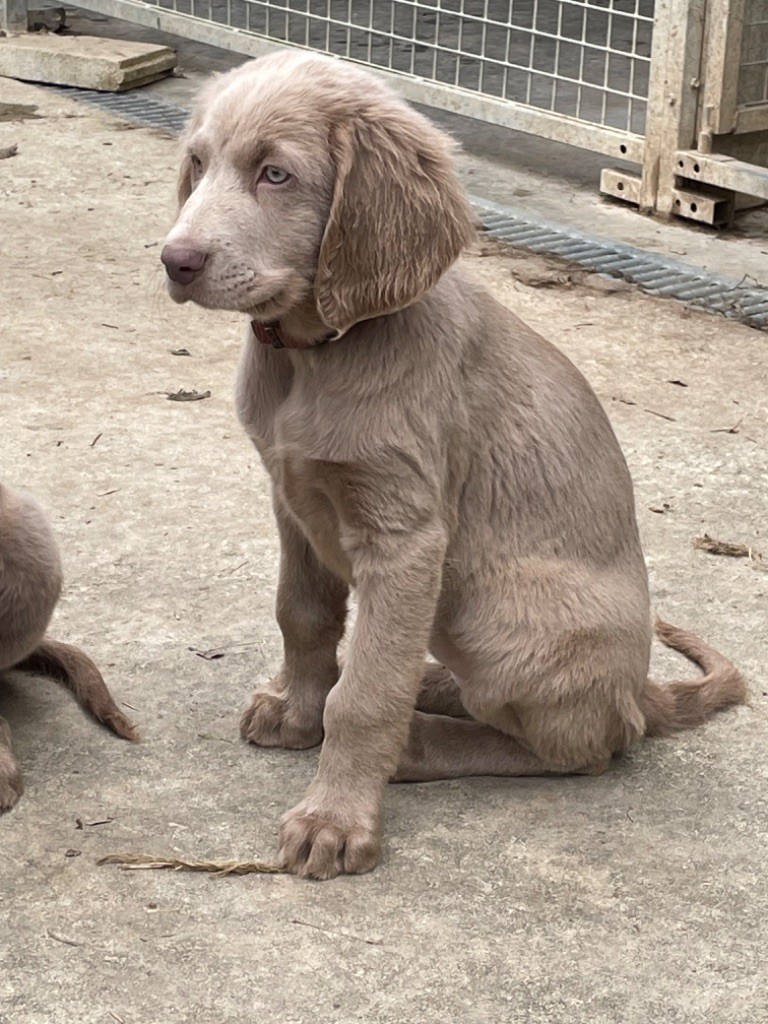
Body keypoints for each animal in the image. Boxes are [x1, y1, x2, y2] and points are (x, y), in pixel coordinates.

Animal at [160, 49, 745, 880]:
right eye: (198, 163)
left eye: (276, 174)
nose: (175, 261)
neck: (316, 355)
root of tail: (641, 688)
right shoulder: (292, 500)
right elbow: (302, 616)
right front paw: (299, 711)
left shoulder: (405, 536)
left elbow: (365, 695)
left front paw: (335, 818)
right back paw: (431, 687)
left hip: (497, 618)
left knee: (588, 746)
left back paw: (422, 740)